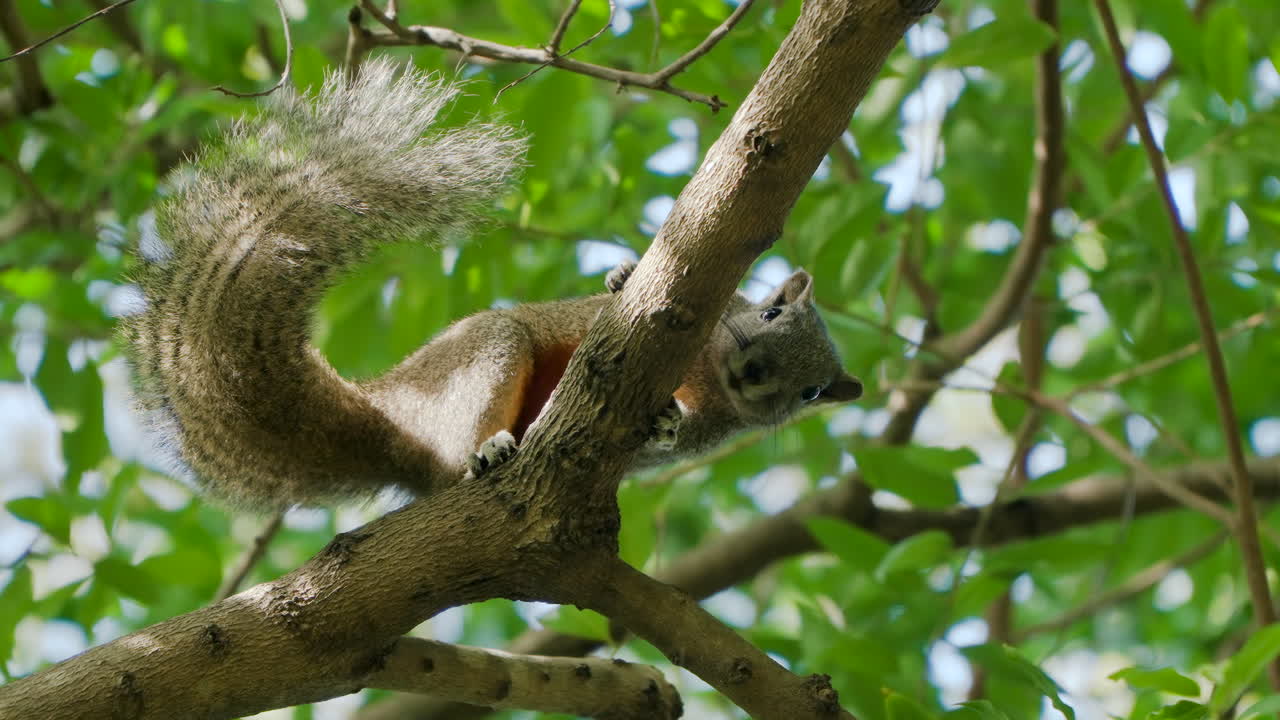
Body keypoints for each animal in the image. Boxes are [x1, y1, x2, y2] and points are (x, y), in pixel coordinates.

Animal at [120, 59, 863, 509]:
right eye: (769, 312)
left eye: (811, 392)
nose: (755, 372)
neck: (705, 369)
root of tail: (391, 413)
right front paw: (621, 273)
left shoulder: (713, 430)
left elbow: (671, 439)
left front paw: (664, 421)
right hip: (477, 362)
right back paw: (487, 448)